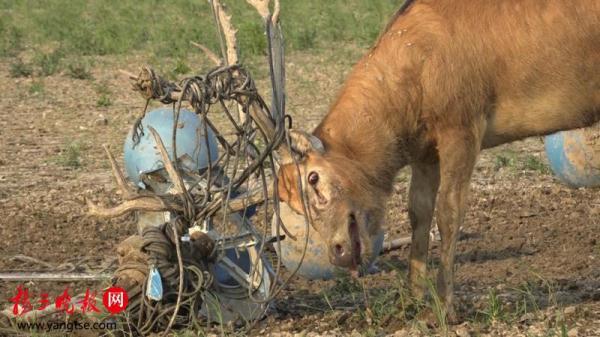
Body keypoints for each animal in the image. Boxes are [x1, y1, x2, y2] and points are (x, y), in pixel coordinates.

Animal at [278, 0, 600, 320]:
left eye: (313, 177)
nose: (337, 252)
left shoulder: (461, 128)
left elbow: (449, 213)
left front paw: (445, 306)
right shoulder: (425, 153)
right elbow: (419, 213)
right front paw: (412, 300)